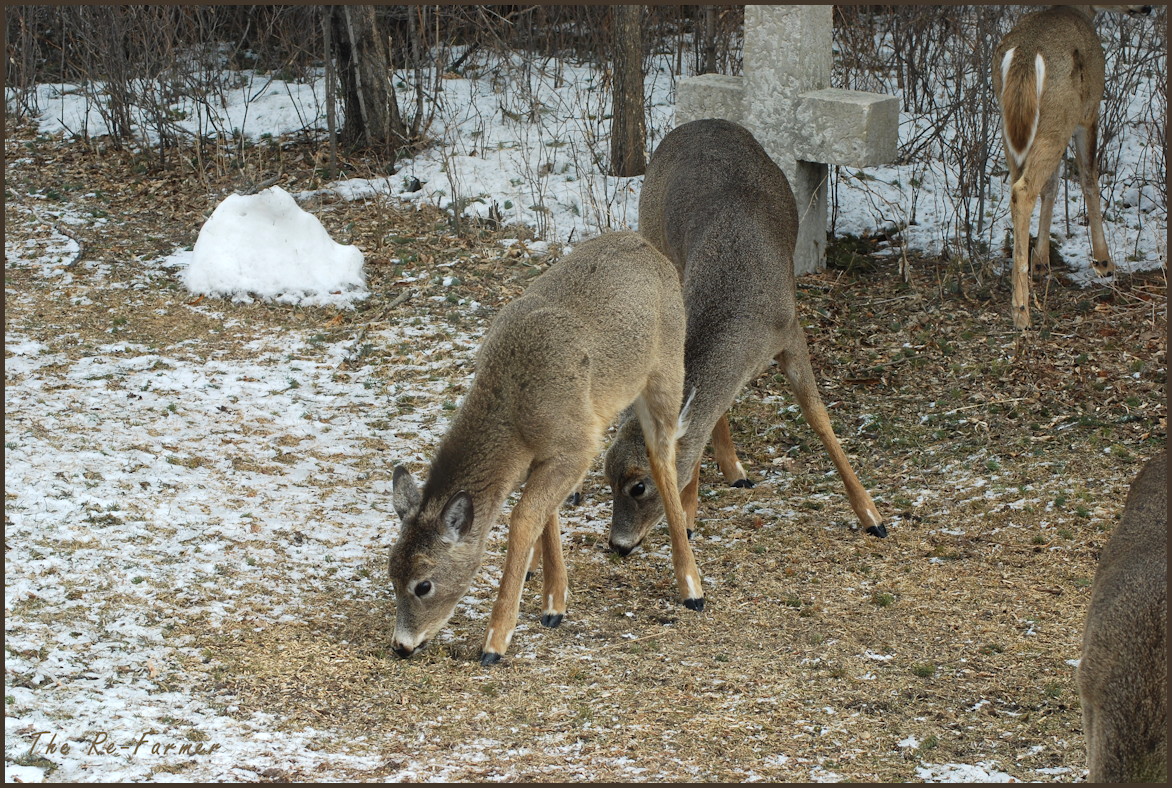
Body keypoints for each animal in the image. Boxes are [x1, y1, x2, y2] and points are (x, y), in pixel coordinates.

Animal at [388, 232, 703, 667]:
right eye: (391, 574)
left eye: (423, 584)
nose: (401, 645)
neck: (514, 412)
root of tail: (641, 243)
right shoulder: (546, 455)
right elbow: (544, 514)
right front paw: (555, 603)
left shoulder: (577, 443)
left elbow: (522, 517)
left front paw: (496, 640)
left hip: (666, 369)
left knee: (663, 457)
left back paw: (692, 587)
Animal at [603, 118, 886, 559]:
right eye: (606, 478)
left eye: (638, 485)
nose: (618, 544)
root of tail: (697, 122)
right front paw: (688, 517)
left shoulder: (790, 331)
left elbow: (818, 416)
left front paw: (872, 515)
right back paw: (732, 469)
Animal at [992, 5, 1152, 329]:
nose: (1147, 7)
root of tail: (1024, 56)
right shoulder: (1088, 113)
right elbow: (1090, 178)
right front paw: (1104, 262)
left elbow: (1052, 186)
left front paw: (1041, 262)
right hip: (1059, 116)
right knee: (1024, 190)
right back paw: (1022, 312)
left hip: (1010, 126)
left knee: (1020, 186)